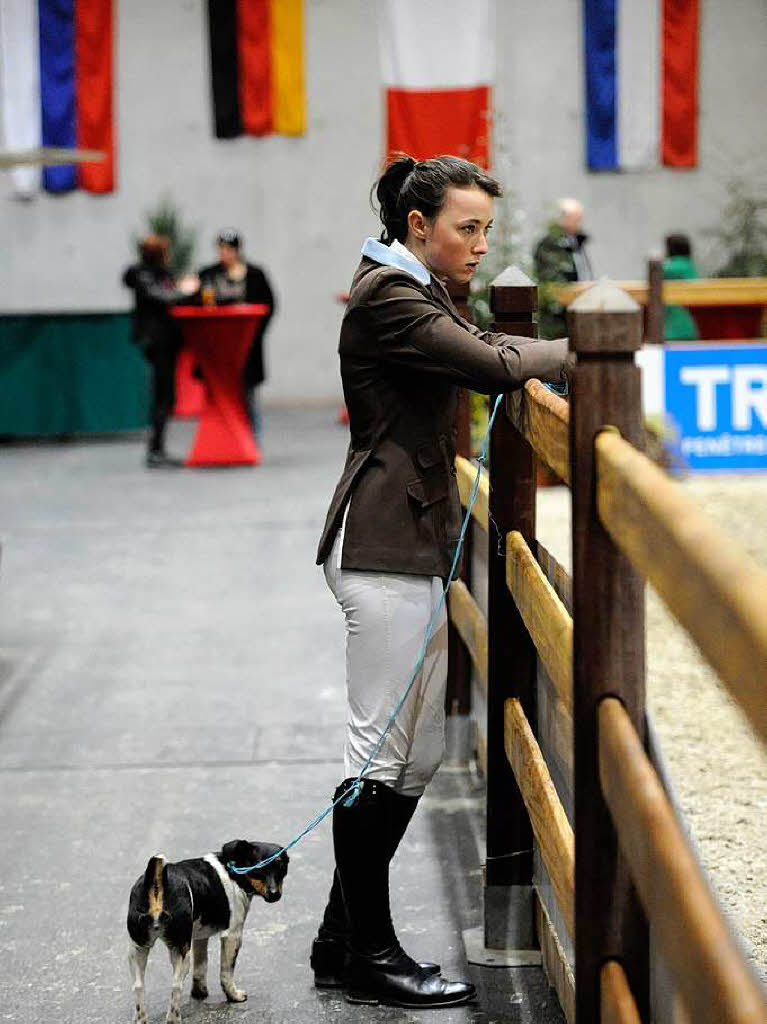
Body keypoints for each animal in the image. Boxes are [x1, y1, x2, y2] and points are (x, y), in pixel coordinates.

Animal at [126, 839, 288, 1024]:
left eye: (282, 868)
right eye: (259, 869)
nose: (275, 894)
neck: (233, 870)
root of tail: (156, 883)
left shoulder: (199, 937)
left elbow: (201, 966)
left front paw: (200, 992)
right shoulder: (233, 936)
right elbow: (226, 973)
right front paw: (234, 996)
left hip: (138, 949)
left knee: (138, 986)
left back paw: (140, 1019)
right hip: (180, 951)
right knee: (176, 986)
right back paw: (174, 1019)